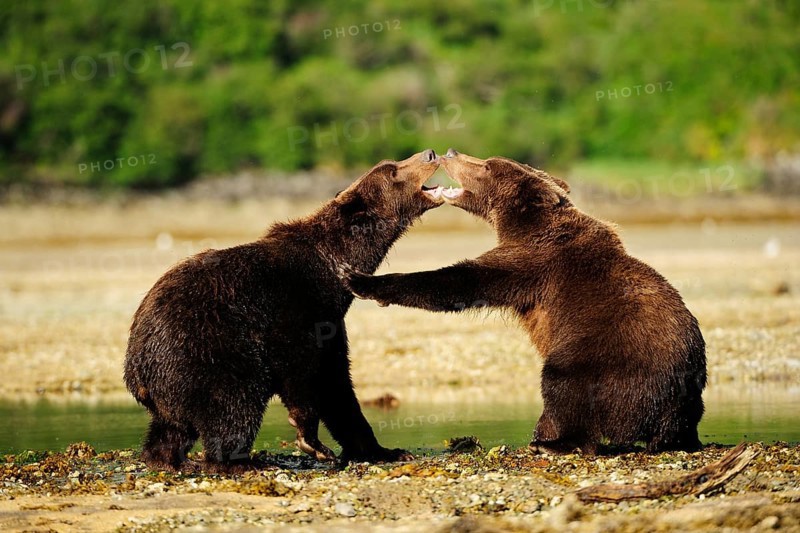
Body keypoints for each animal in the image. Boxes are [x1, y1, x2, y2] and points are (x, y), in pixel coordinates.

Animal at [124, 149, 444, 473]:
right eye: (393, 170)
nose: (429, 154)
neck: (332, 266)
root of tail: (136, 366)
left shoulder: (331, 321)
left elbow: (337, 383)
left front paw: (385, 450)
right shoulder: (296, 305)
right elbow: (300, 371)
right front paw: (313, 442)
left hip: (172, 382)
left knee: (172, 426)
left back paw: (169, 459)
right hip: (205, 348)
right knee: (235, 400)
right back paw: (241, 462)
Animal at [345, 148, 707, 454]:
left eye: (488, 166)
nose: (450, 152)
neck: (521, 222)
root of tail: (675, 404)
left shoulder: (532, 262)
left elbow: (461, 281)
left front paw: (361, 280)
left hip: (607, 359)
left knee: (563, 384)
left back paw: (553, 442)